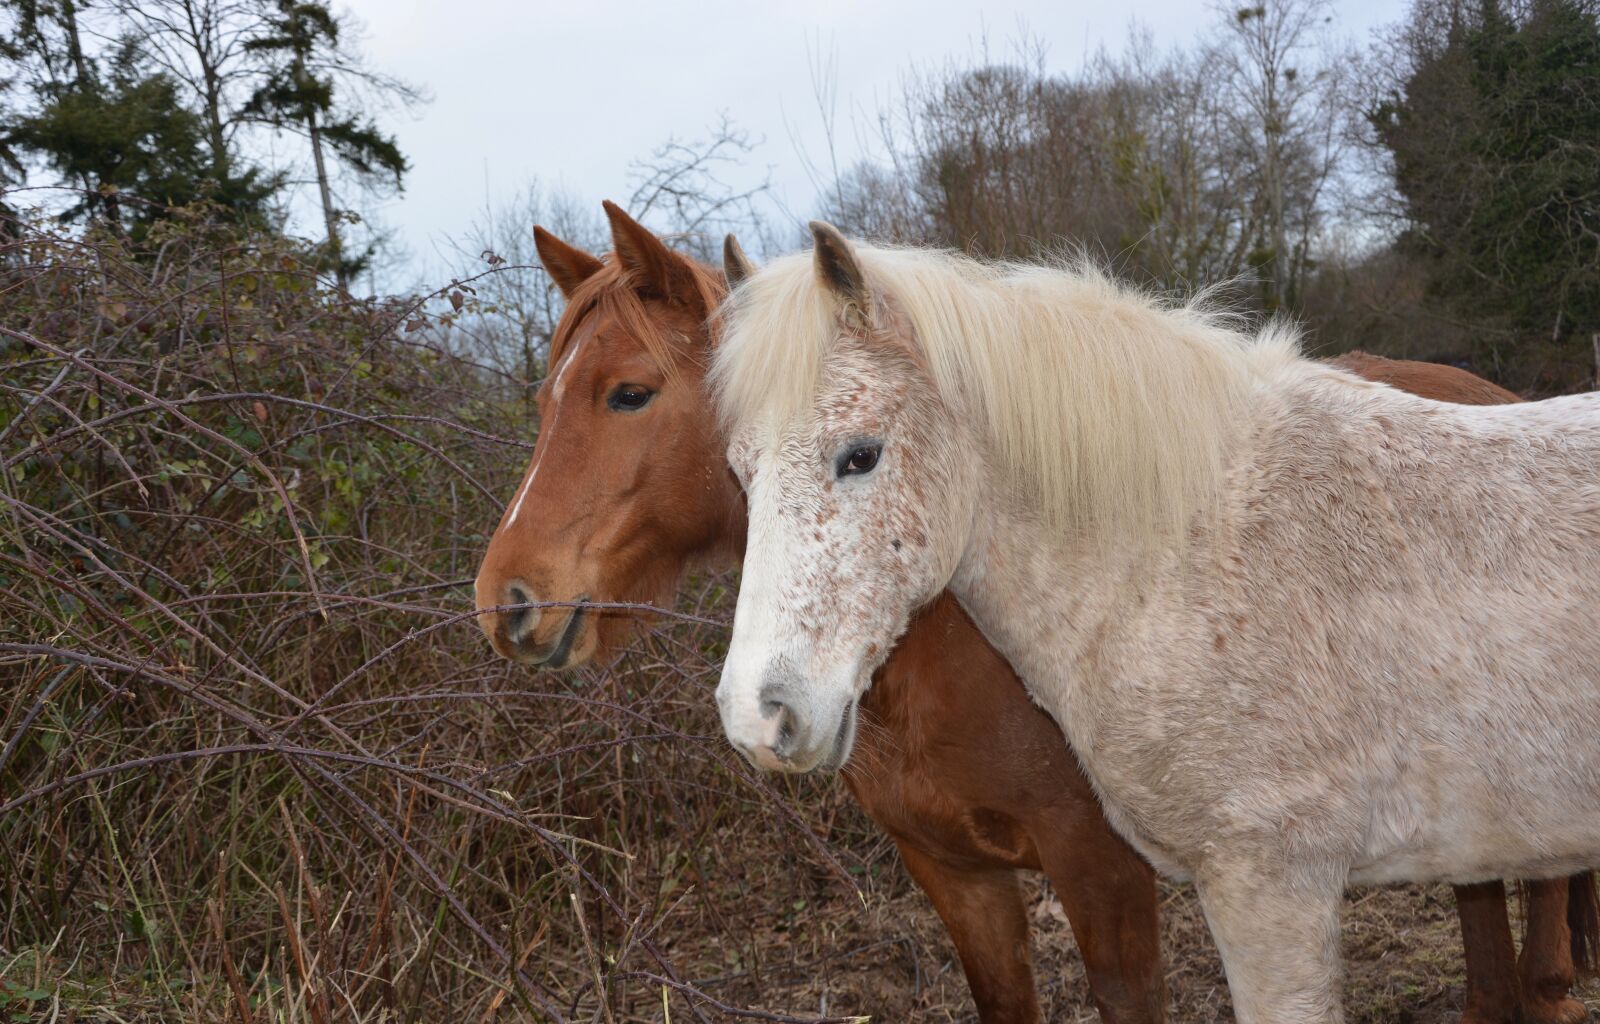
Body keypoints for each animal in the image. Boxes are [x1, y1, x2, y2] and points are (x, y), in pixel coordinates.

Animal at [473, 204, 1596, 1023]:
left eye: (629, 393)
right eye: (738, 467)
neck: (1194, 549)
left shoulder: (1239, 888)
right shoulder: (966, 877)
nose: (507, 600)